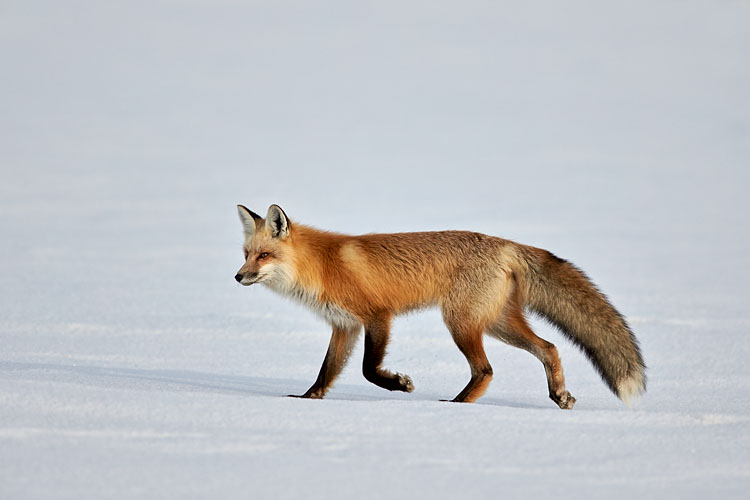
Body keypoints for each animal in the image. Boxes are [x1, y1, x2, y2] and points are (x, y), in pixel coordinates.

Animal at [234, 204, 646, 409]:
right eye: (246, 254)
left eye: (264, 256)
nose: (238, 277)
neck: (322, 264)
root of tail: (504, 242)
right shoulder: (345, 326)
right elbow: (327, 370)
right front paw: (309, 400)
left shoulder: (377, 316)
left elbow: (369, 369)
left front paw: (398, 385)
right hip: (496, 324)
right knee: (550, 348)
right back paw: (558, 395)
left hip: (461, 324)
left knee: (486, 369)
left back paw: (456, 406)